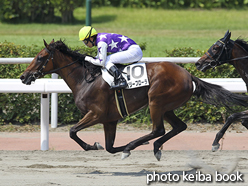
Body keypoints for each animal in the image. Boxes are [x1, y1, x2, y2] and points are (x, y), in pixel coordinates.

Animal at [20, 39, 248, 160]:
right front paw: (107, 146)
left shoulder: (96, 114)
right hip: (167, 106)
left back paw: (136, 145)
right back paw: (153, 147)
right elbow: (110, 146)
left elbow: (72, 132)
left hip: (155, 101)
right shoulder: (110, 119)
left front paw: (94, 146)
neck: (85, 79)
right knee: (178, 127)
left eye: (40, 58)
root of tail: (188, 74)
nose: (23, 76)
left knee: (158, 129)